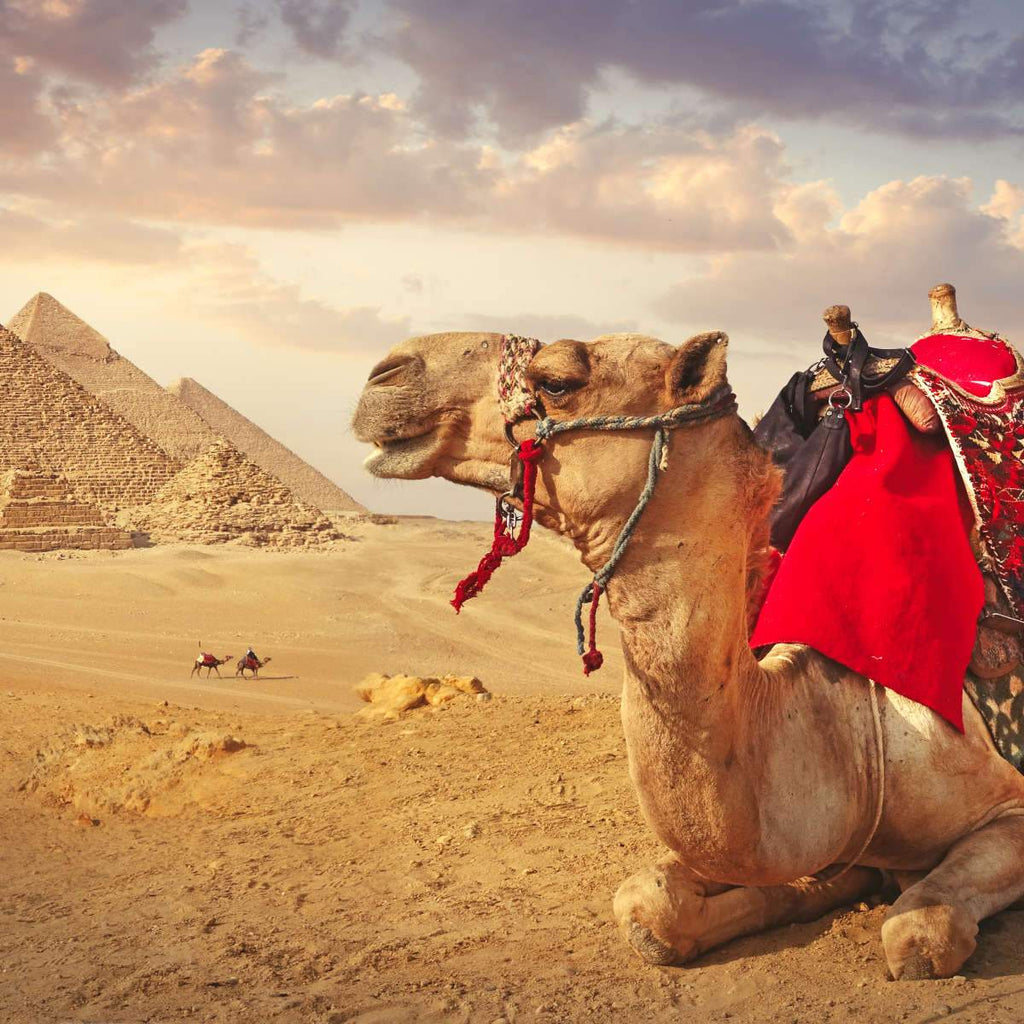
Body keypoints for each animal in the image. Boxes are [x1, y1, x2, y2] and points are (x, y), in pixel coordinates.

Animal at [352, 324, 1024, 981]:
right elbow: (650, 904)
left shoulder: (1009, 809)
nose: (386, 374)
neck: (850, 734)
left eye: (558, 380)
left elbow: (918, 932)